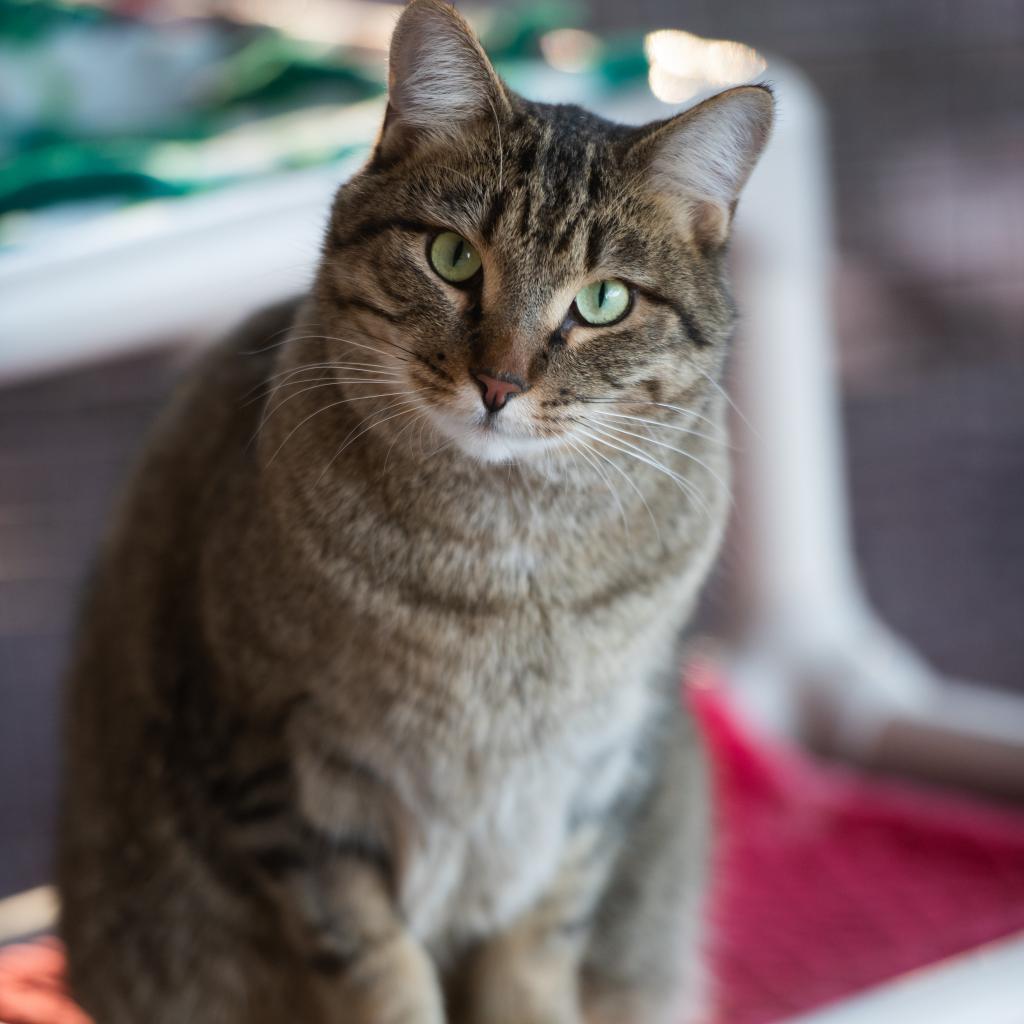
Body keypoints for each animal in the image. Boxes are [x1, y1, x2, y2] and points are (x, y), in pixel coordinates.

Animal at [56, 2, 770, 1024]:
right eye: (452, 257)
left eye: (602, 301)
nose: (500, 382)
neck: (501, 575)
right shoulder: (277, 766)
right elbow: (371, 958)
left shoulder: (599, 777)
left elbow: (538, 943)